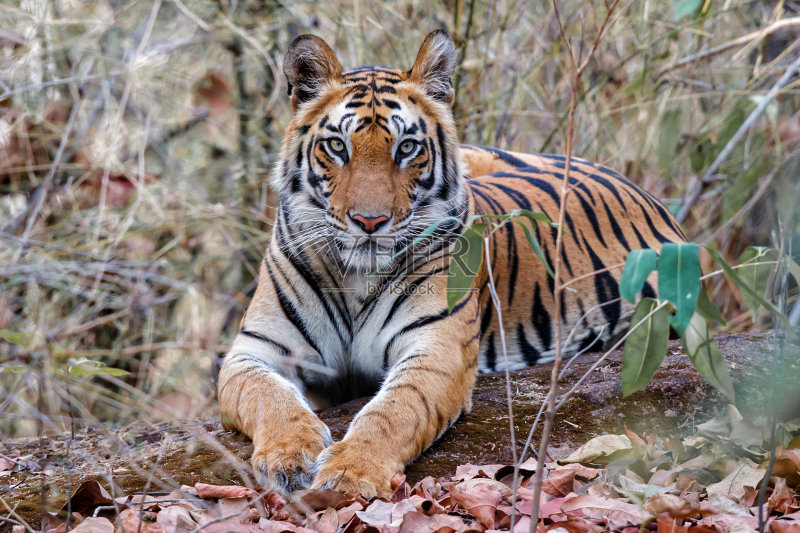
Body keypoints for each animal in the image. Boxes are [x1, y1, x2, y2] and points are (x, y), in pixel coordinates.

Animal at [219, 28, 688, 494]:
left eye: (406, 148)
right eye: (337, 146)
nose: (370, 222)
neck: (356, 278)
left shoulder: (436, 348)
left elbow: (393, 411)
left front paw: (350, 473)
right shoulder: (255, 349)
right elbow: (268, 396)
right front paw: (288, 456)